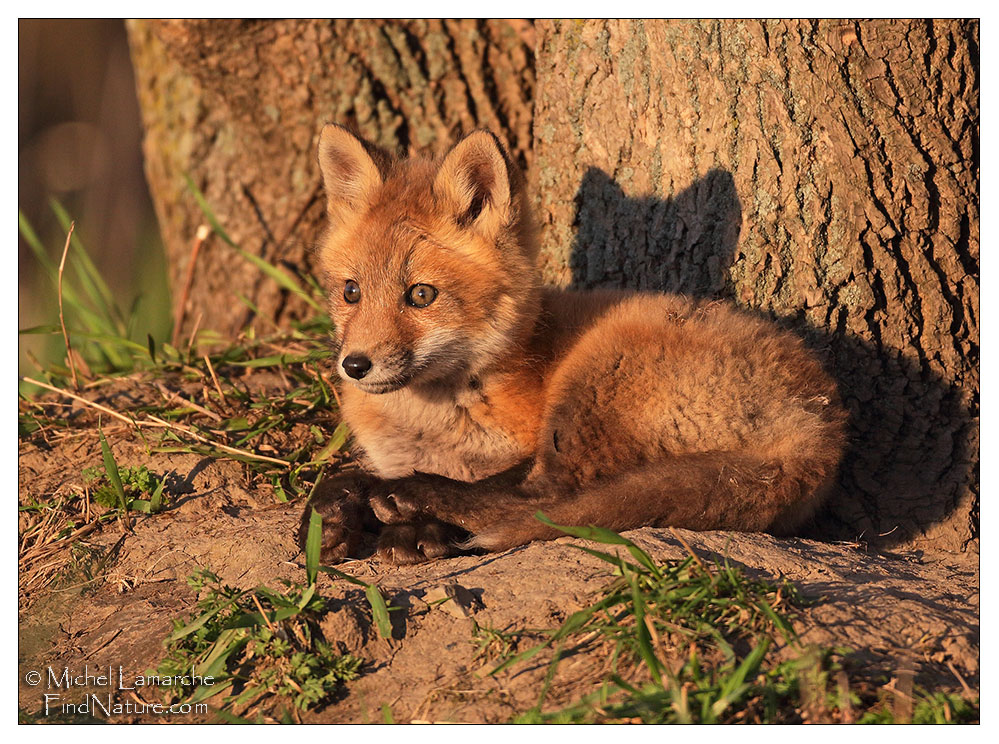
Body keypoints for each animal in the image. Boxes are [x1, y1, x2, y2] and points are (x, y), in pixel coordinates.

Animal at [300, 125, 848, 564]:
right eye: (351, 292)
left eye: (420, 295)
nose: (354, 365)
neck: (434, 425)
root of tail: (823, 425)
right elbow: (346, 473)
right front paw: (329, 516)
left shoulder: (522, 446)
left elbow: (497, 484)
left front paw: (411, 525)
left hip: (593, 376)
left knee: (547, 499)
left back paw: (411, 499)